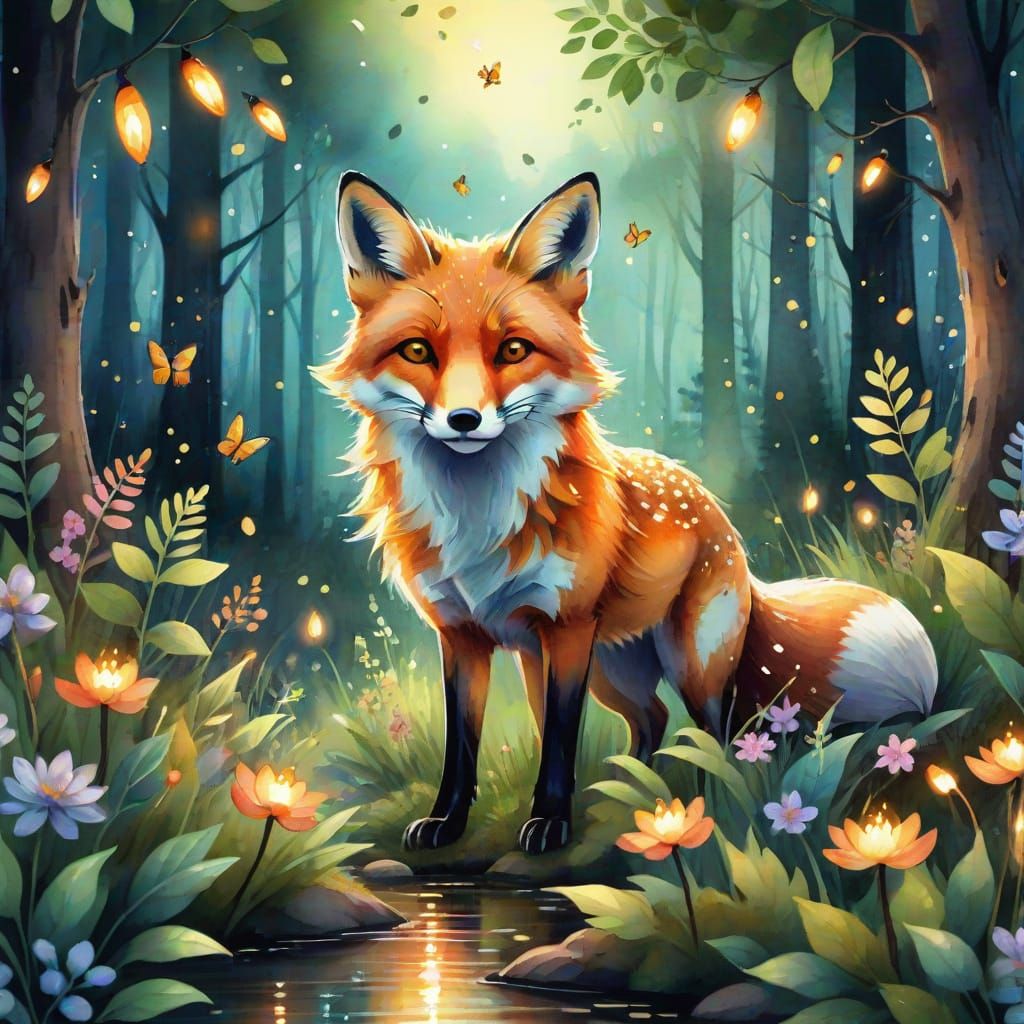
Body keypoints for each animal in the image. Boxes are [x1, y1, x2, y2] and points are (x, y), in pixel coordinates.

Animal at [313, 170, 938, 856]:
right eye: (419, 351)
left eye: (514, 349)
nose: (464, 420)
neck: (477, 517)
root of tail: (719, 516)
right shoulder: (462, 635)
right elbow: (464, 746)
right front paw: (448, 823)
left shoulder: (566, 629)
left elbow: (560, 741)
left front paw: (550, 822)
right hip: (600, 670)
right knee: (652, 721)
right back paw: (634, 789)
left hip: (686, 660)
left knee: (715, 731)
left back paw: (697, 800)